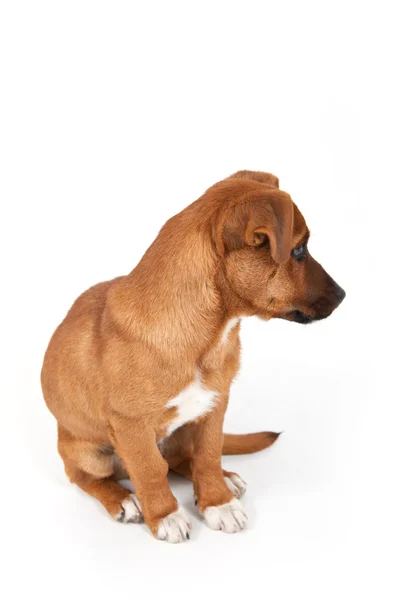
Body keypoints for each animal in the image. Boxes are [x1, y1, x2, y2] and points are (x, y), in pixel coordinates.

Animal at [41, 170, 346, 544]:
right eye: (299, 250)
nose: (343, 295)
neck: (210, 335)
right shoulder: (131, 426)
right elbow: (149, 470)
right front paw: (165, 514)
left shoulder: (214, 405)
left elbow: (208, 455)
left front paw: (217, 501)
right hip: (88, 452)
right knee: (88, 476)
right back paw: (122, 499)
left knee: (179, 459)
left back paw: (226, 479)